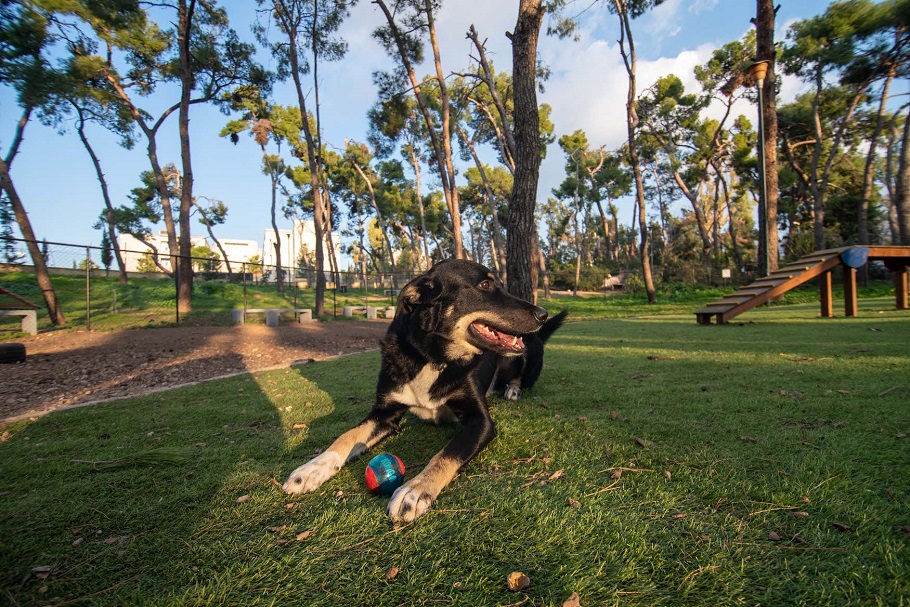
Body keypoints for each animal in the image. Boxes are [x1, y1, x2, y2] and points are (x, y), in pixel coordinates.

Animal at [284, 260, 568, 524]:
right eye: (486, 285)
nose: (543, 314)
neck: (432, 357)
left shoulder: (481, 421)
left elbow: (446, 453)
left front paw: (415, 489)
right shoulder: (384, 413)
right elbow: (346, 436)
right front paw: (312, 469)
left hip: (523, 357)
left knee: (519, 378)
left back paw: (512, 390)